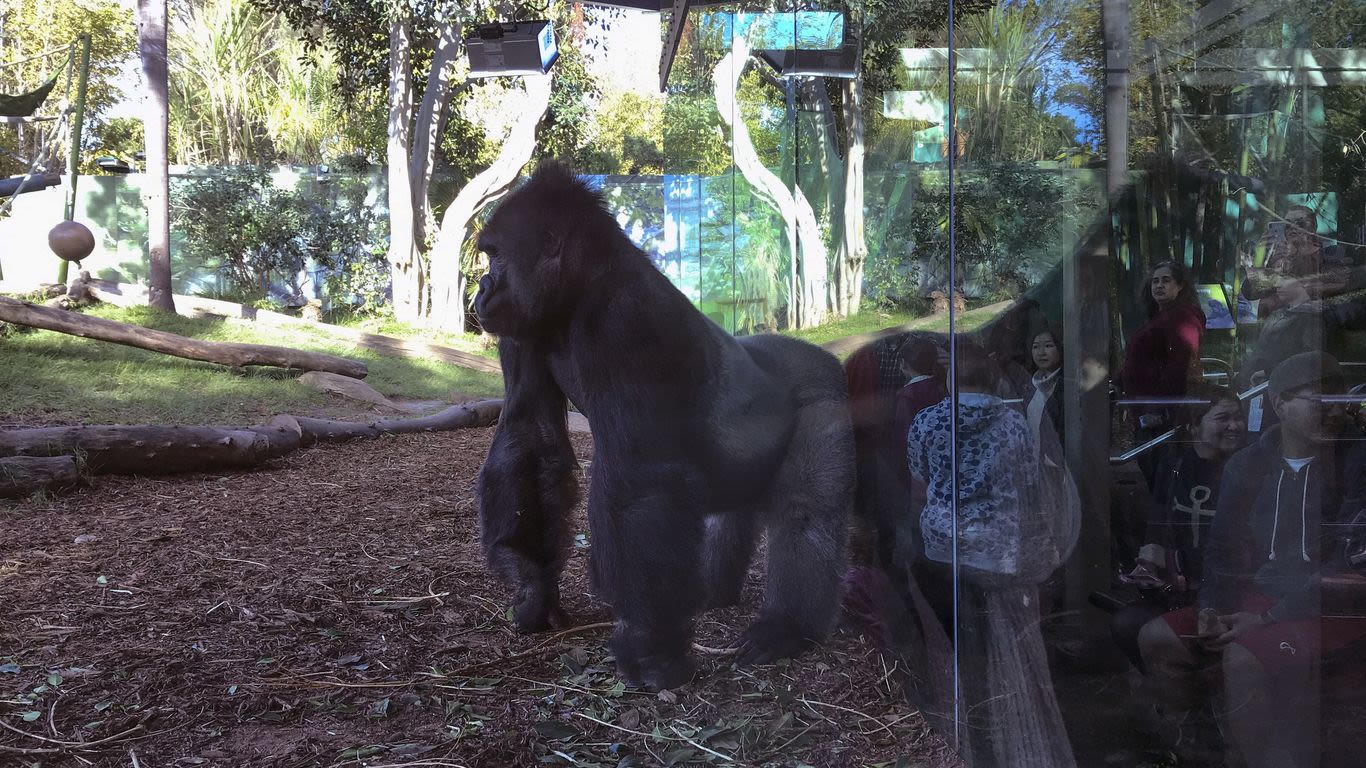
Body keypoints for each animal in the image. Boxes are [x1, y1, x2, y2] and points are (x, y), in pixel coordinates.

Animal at [475, 161, 846, 688]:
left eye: (496, 257)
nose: (482, 290)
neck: (581, 286)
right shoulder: (523, 328)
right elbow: (529, 439)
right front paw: (533, 588)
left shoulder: (626, 319)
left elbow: (639, 480)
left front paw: (650, 650)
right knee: (727, 512)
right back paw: (711, 593)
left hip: (825, 391)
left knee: (806, 510)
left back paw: (787, 626)